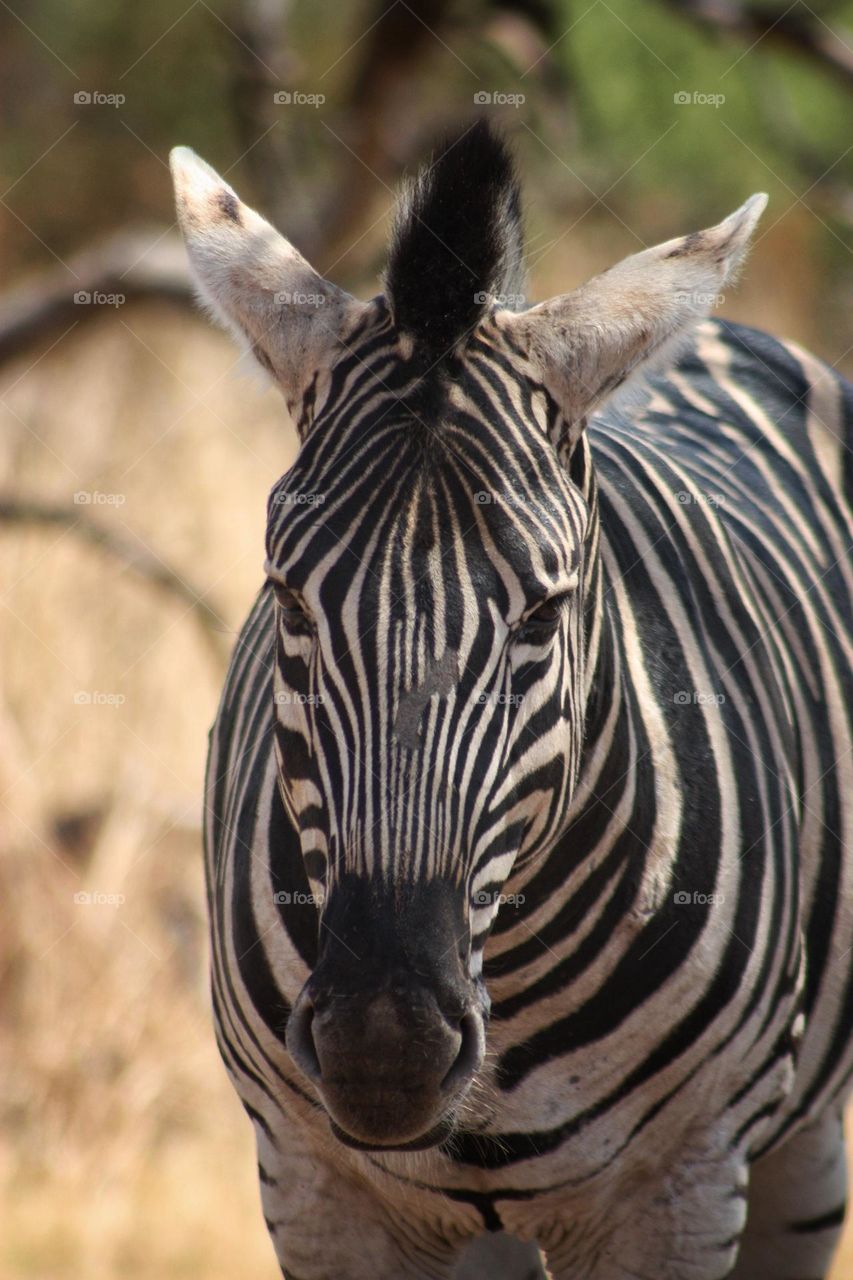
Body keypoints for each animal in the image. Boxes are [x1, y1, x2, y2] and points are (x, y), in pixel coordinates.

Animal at [170, 122, 853, 1279]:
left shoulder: (678, 1190)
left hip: (798, 1153)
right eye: (288, 597)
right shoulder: (318, 1188)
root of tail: (730, 333)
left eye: (541, 614)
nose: (382, 1048)